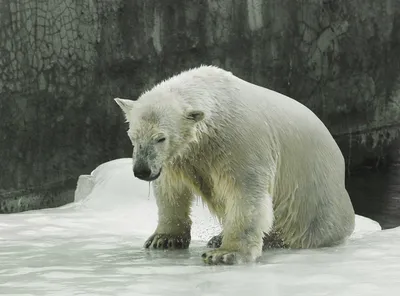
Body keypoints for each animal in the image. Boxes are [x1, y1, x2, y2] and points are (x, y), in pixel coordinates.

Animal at [114, 65, 354, 266]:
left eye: (161, 138)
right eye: (133, 136)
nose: (142, 170)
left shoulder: (238, 141)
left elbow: (245, 193)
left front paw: (225, 253)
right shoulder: (180, 157)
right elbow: (171, 189)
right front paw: (163, 239)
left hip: (314, 196)